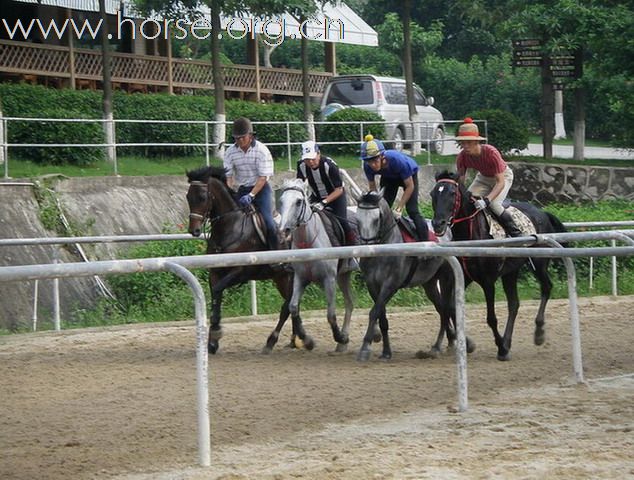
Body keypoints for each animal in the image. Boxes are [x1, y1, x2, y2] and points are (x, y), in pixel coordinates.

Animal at [184, 165, 312, 352]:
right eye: (188, 197)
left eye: (202, 197)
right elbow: (216, 295)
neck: (231, 226)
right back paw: (296, 339)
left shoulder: (241, 271)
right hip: (281, 277)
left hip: (289, 275)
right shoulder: (214, 272)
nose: (194, 230)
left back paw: (278, 340)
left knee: (287, 306)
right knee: (292, 305)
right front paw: (213, 341)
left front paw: (215, 332)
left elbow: (218, 290)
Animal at [278, 178, 356, 354]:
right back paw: (343, 344)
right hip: (343, 276)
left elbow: (331, 314)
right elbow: (293, 307)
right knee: (349, 303)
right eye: (281, 201)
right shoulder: (300, 278)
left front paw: (339, 337)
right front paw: (307, 341)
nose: (284, 230)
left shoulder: (329, 279)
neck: (308, 244)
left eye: (299, 201)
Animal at [428, 171, 564, 362]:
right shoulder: (464, 277)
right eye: (433, 194)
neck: (471, 234)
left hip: (539, 263)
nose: (438, 223)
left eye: (452, 194)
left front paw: (501, 348)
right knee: (514, 304)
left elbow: (491, 318)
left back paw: (538, 333)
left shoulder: (488, 280)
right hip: (511, 271)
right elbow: (450, 308)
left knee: (546, 287)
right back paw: (508, 340)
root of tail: (542, 212)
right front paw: (468, 344)